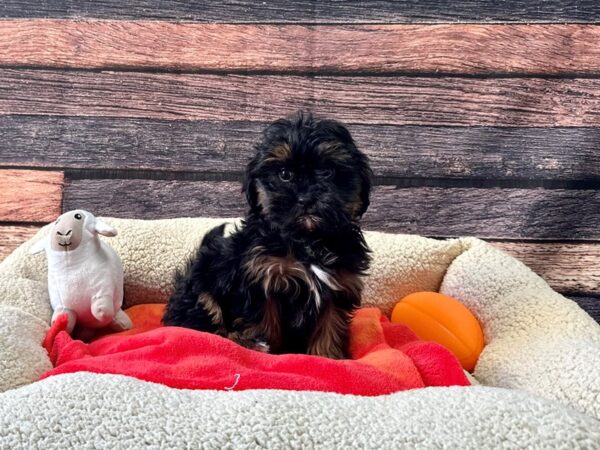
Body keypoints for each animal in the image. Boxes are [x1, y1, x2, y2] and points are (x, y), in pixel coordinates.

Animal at [163, 110, 370, 356]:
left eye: (328, 172)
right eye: (285, 174)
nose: (306, 198)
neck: (307, 239)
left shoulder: (339, 282)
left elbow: (330, 325)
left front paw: (327, 356)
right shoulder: (262, 276)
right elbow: (264, 321)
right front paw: (265, 350)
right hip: (202, 286)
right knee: (202, 324)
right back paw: (244, 341)